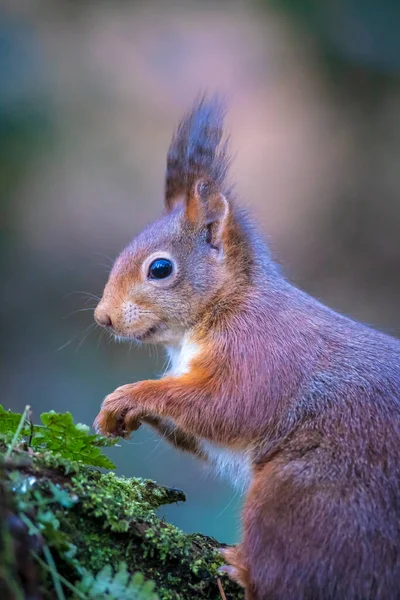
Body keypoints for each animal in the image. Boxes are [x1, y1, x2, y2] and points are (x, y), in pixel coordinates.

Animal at [94, 98, 400, 600]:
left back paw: (241, 568)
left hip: (309, 498)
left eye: (160, 268)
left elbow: (232, 405)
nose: (104, 318)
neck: (224, 306)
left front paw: (131, 395)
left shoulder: (262, 352)